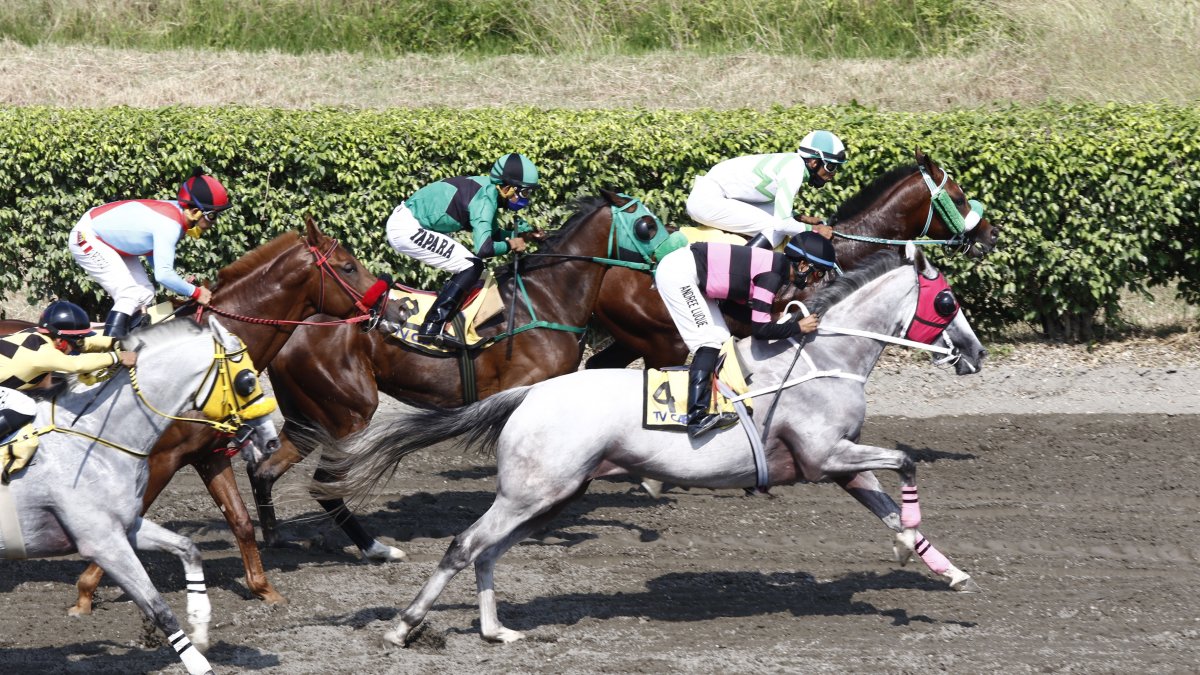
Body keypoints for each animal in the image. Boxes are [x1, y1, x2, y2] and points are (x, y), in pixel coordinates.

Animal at [0, 317, 279, 675]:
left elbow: (189, 548)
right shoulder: (102, 542)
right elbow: (157, 607)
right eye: (247, 379)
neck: (94, 437)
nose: (270, 440)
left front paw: (201, 623)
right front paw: (199, 664)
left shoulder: (128, 526)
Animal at [67, 217, 392, 616]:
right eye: (348, 267)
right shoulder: (162, 459)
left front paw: (264, 589)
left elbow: (240, 520)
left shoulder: (210, 455)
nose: (385, 307)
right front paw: (85, 592)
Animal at [248, 190, 660, 557]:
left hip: (306, 418)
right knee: (324, 487)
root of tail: (293, 329)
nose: (667, 255)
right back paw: (374, 548)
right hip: (346, 415)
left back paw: (274, 537)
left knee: (265, 470)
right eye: (647, 224)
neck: (545, 299)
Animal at [310, 244, 987, 645]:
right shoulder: (825, 457)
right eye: (949, 300)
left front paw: (945, 569)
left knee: (486, 552)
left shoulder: (841, 464)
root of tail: (529, 395)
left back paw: (495, 630)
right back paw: (405, 625)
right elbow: (908, 460)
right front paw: (911, 546)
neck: (823, 358)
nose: (976, 352)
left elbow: (888, 501)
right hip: (533, 492)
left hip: (553, 496)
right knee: (464, 544)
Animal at [587, 148, 1000, 370]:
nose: (991, 234)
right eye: (959, 198)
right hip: (662, 342)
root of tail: (610, 270)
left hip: (635, 339)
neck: (843, 253)